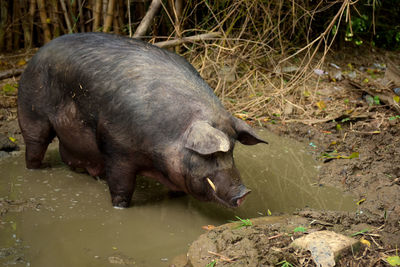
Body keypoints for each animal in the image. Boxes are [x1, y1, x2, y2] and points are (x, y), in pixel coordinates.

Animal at [17, 33, 268, 209]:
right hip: (31, 110)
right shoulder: (117, 149)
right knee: (35, 144)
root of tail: (37, 53)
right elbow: (121, 187)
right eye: (212, 155)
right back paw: (35, 169)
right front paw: (119, 207)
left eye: (232, 150)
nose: (244, 193)